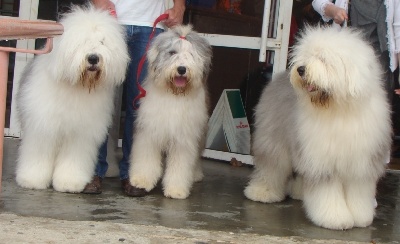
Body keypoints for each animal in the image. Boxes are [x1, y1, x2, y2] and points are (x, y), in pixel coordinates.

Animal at [14, 4, 128, 193]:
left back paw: (111, 169)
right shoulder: (43, 126)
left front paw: (70, 182)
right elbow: (38, 153)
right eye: (82, 41)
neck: (76, 85)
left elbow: (74, 158)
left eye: (102, 42)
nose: (93, 58)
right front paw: (32, 179)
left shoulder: (81, 132)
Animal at [129, 25, 212, 198]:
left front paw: (176, 190)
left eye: (191, 54)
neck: (174, 95)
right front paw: (141, 180)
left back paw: (195, 175)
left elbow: (181, 165)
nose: (181, 69)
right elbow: (146, 158)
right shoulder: (150, 132)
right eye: (172, 52)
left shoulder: (184, 139)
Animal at [244, 25, 390, 230]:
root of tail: (279, 76)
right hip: (274, 141)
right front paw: (335, 218)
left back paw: (299, 192)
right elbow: (327, 192)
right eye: (306, 56)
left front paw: (361, 217)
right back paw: (262, 192)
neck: (338, 110)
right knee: (272, 167)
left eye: (323, 59)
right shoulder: (322, 159)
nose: (301, 69)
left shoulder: (360, 163)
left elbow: (358, 192)